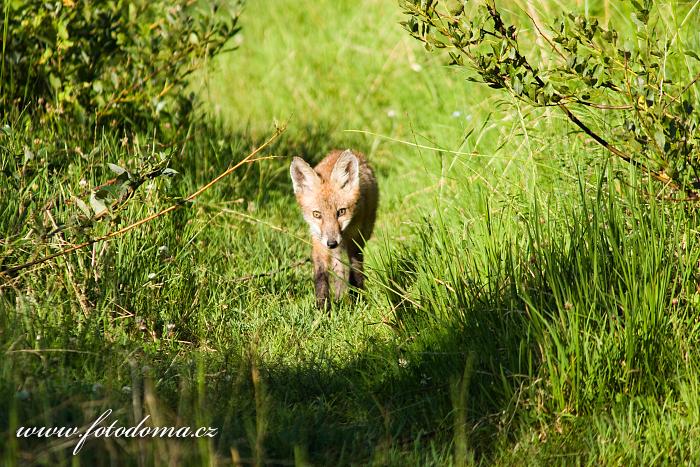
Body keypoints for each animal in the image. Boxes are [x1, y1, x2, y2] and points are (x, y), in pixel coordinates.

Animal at [288, 150, 378, 310]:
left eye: (341, 212)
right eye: (317, 214)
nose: (332, 243)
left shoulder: (355, 240)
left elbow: (355, 270)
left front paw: (357, 299)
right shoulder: (318, 241)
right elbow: (321, 276)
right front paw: (323, 308)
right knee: (338, 268)